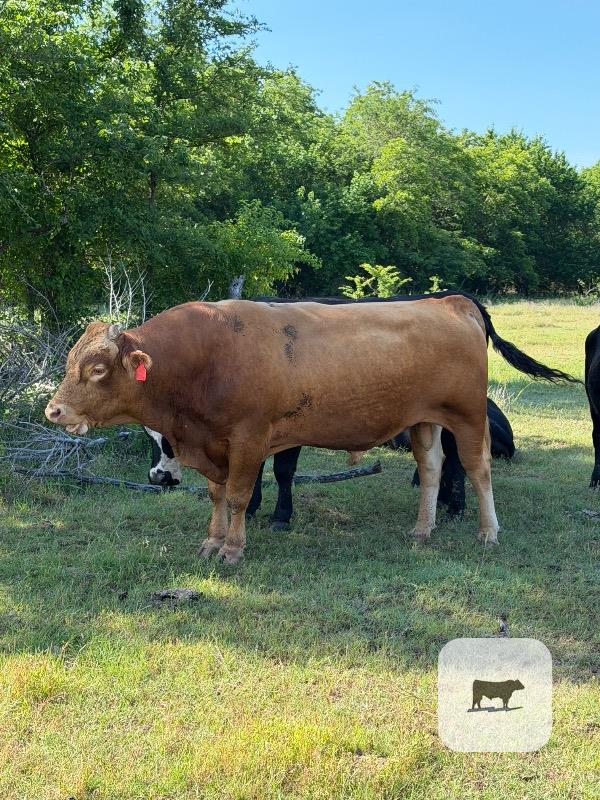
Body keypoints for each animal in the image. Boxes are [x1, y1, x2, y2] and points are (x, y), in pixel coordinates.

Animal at [144, 397, 515, 524]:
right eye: (148, 434)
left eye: (172, 438)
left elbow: (282, 470)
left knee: (456, 458)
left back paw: (454, 506)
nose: (158, 477)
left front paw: (281, 516)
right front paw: (251, 508)